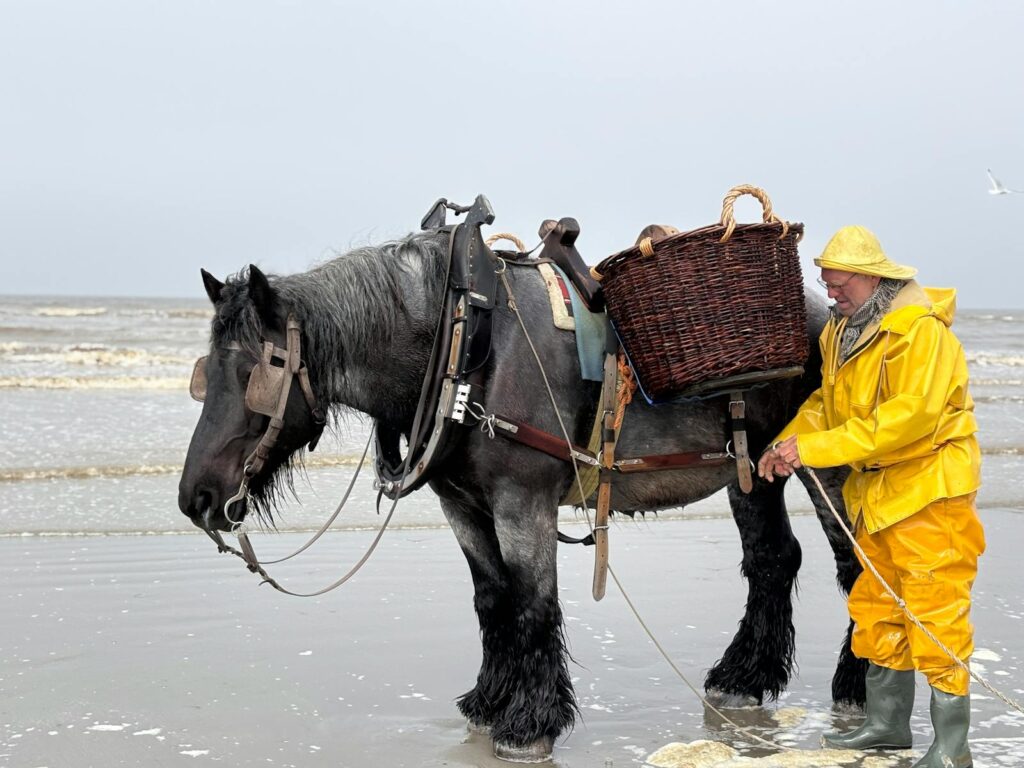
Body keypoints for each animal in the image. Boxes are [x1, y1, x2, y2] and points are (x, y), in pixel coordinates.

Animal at [178, 223, 864, 762]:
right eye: (205, 374)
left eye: (257, 371)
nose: (196, 499)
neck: (465, 345)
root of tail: (826, 312)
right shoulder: (462, 506)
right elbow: (492, 601)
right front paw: (489, 700)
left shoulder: (522, 503)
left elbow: (533, 604)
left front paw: (529, 723)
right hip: (751, 470)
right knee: (772, 559)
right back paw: (743, 678)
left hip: (827, 469)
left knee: (853, 566)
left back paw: (854, 690)